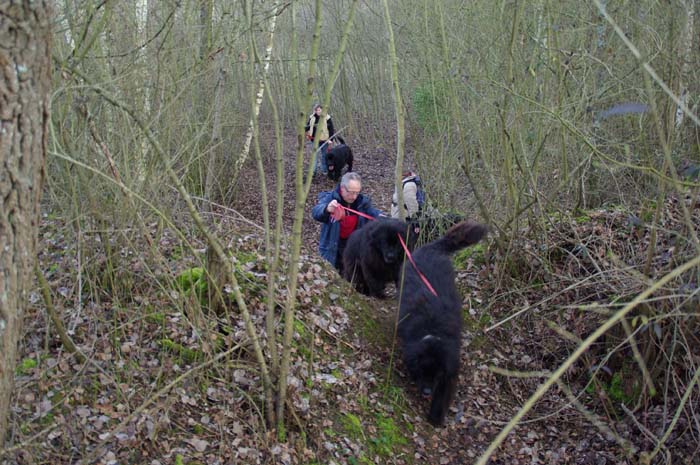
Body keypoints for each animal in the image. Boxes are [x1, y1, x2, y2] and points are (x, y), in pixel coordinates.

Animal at [396, 219, 490, 426]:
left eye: (436, 375)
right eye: (423, 371)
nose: (426, 392)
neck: (434, 330)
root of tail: (434, 247)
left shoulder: (450, 367)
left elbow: (444, 393)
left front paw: (435, 417)